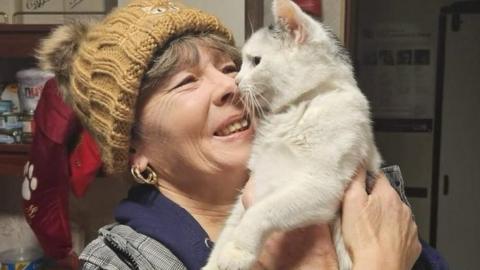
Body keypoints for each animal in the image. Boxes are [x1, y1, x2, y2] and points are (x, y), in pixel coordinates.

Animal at [203, 0, 382, 270]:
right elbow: (230, 227)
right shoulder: (254, 183)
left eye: (255, 61)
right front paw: (217, 260)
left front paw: (237, 252)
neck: (293, 110)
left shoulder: (320, 186)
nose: (235, 82)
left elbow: (260, 212)